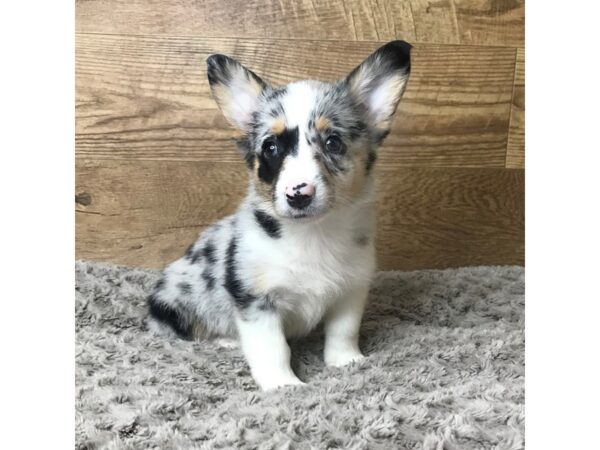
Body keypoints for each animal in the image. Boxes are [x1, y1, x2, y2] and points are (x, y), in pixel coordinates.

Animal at [149, 39, 412, 390]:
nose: (298, 194)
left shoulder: (351, 291)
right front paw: (283, 386)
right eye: (270, 148)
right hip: (175, 303)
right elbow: (273, 349)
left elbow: (343, 332)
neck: (312, 234)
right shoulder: (257, 301)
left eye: (333, 142)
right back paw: (227, 340)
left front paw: (347, 362)